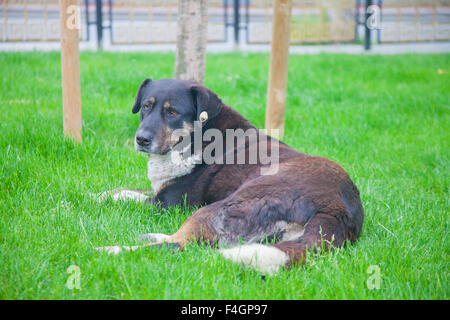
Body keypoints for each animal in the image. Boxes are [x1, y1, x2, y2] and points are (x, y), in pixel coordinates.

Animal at [96, 78, 364, 276]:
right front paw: (97, 194)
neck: (198, 136)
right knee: (191, 240)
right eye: (146, 107)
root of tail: (337, 208)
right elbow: (122, 190)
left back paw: (111, 250)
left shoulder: (169, 203)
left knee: (176, 244)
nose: (141, 139)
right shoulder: (159, 191)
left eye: (172, 112)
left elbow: (126, 197)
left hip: (223, 206)